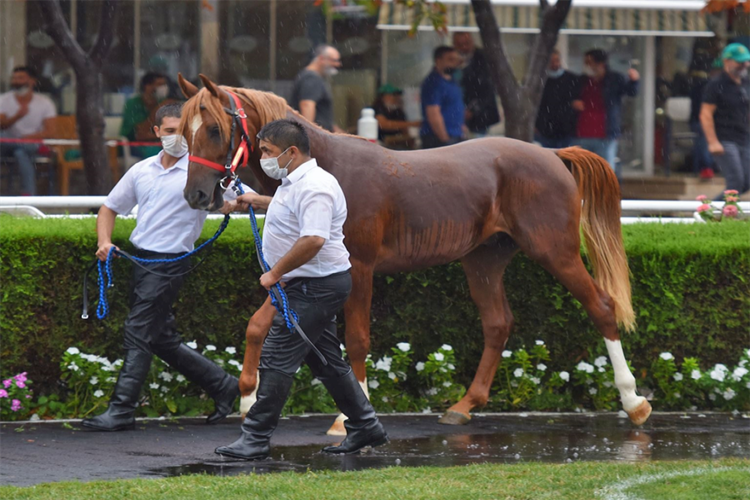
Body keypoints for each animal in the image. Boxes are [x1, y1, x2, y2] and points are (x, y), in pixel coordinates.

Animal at [176, 73, 652, 434]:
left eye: (214, 129)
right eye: (183, 132)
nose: (197, 195)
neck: (325, 169)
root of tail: (553, 153)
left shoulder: (359, 268)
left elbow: (358, 338)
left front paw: (345, 418)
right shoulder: (300, 270)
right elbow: (258, 325)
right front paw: (247, 397)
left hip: (556, 251)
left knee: (601, 306)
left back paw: (634, 402)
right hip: (484, 260)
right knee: (498, 323)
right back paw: (463, 406)